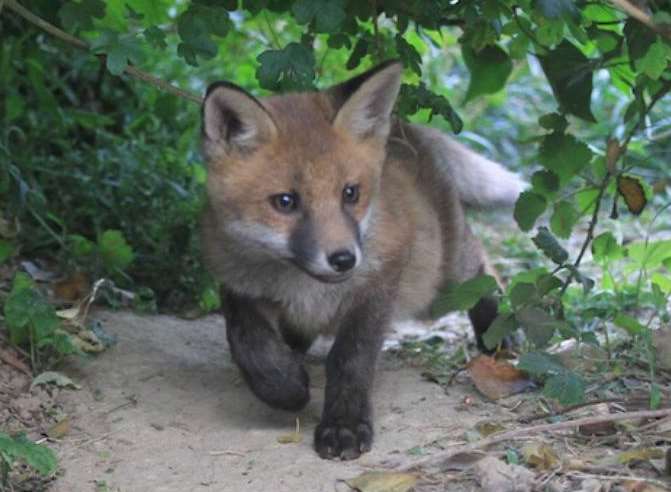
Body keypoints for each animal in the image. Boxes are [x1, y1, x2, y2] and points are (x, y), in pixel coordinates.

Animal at [200, 61, 524, 462]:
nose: (343, 259)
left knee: (482, 269)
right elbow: (248, 342)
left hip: (438, 284)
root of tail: (405, 128)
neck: (303, 286)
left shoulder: (378, 285)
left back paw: (499, 328)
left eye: (350, 193)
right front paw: (284, 385)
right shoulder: (234, 277)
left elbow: (350, 359)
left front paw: (345, 426)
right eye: (285, 202)